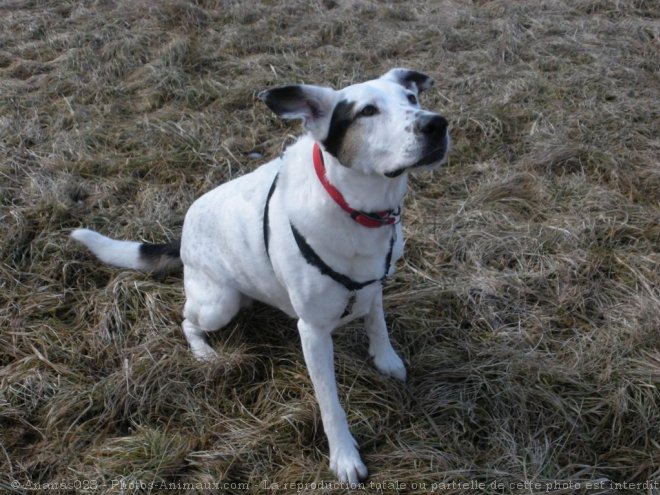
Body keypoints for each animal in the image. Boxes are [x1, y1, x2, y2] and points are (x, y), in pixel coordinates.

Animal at [71, 69, 448, 484]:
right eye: (367, 111)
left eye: (411, 98)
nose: (437, 124)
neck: (356, 208)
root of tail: (183, 233)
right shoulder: (313, 333)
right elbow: (330, 403)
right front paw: (344, 457)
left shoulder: (374, 282)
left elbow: (377, 321)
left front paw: (386, 359)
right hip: (219, 304)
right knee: (186, 319)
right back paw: (203, 353)